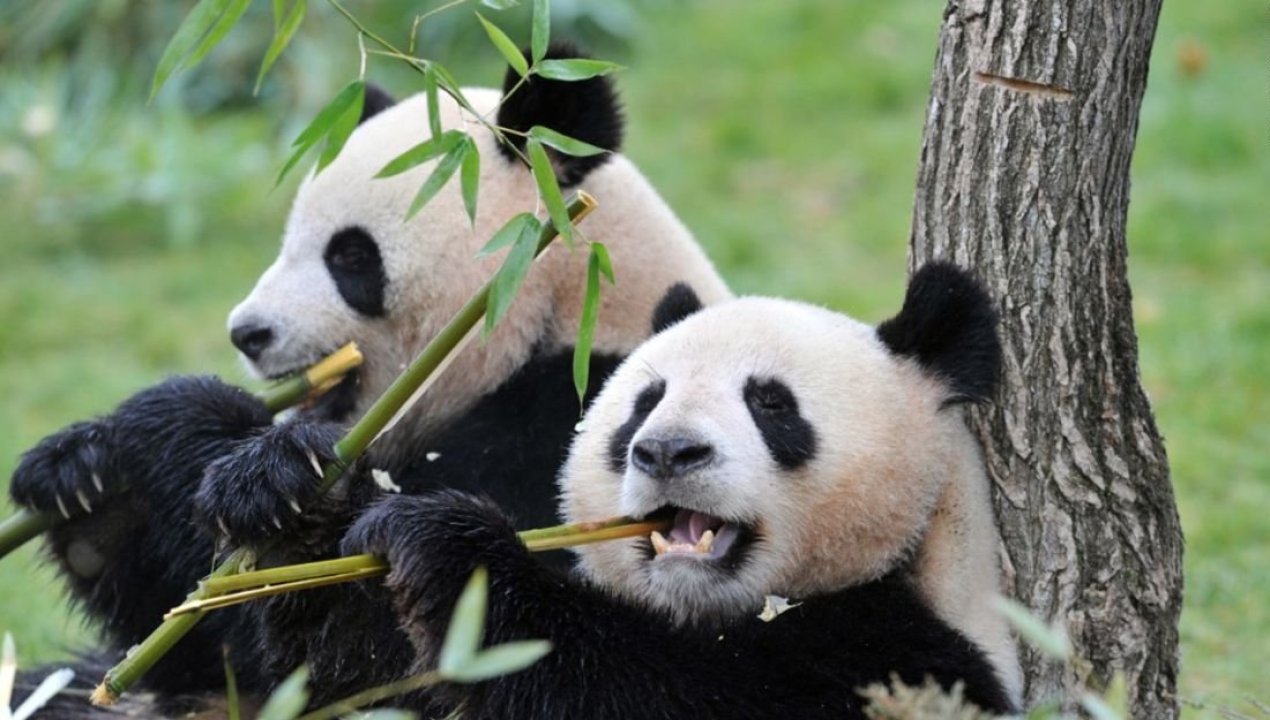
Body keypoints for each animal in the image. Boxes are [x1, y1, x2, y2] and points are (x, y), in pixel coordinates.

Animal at [8, 43, 730, 711]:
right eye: (287, 243)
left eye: (350, 256)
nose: (248, 332)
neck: (563, 309)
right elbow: (209, 656)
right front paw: (81, 473)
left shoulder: (565, 429)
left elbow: (385, 654)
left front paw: (263, 475)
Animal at [340, 262, 1021, 719]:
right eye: (646, 401)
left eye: (771, 403)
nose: (668, 451)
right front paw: (325, 494)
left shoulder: (899, 657)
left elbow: (647, 688)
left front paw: (447, 545)